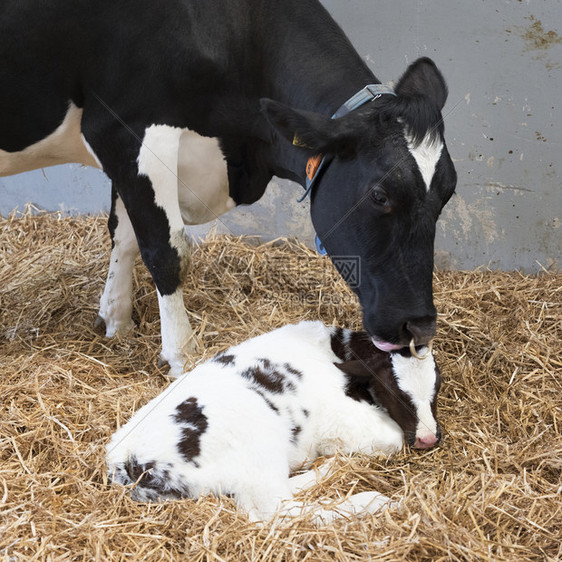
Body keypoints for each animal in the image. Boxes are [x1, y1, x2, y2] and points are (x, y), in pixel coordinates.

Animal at [0, 2, 456, 376]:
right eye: (380, 195)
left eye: (447, 194)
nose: (420, 327)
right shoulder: (128, 130)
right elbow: (167, 251)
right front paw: (182, 356)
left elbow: (124, 236)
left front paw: (116, 321)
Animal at [107, 322, 440, 524]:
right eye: (393, 390)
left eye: (436, 388)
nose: (428, 438)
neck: (331, 349)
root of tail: (128, 463)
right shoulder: (341, 417)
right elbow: (393, 438)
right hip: (256, 453)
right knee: (278, 510)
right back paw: (372, 500)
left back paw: (328, 468)